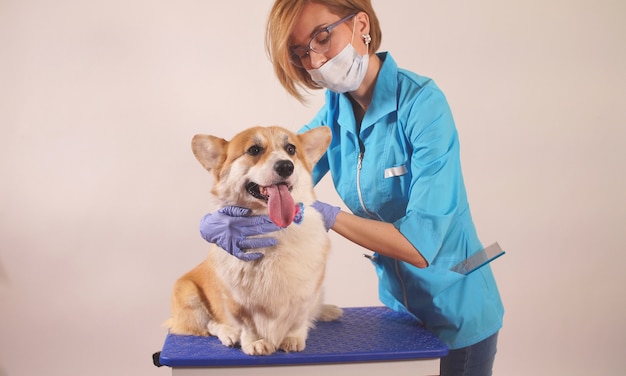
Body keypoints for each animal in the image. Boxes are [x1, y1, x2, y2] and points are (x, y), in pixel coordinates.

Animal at [165, 124, 342, 356]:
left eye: (291, 149)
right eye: (254, 150)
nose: (286, 166)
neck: (273, 232)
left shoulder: (308, 291)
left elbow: (299, 317)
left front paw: (293, 337)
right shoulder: (236, 299)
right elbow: (246, 322)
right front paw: (255, 341)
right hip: (187, 292)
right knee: (209, 325)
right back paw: (230, 333)